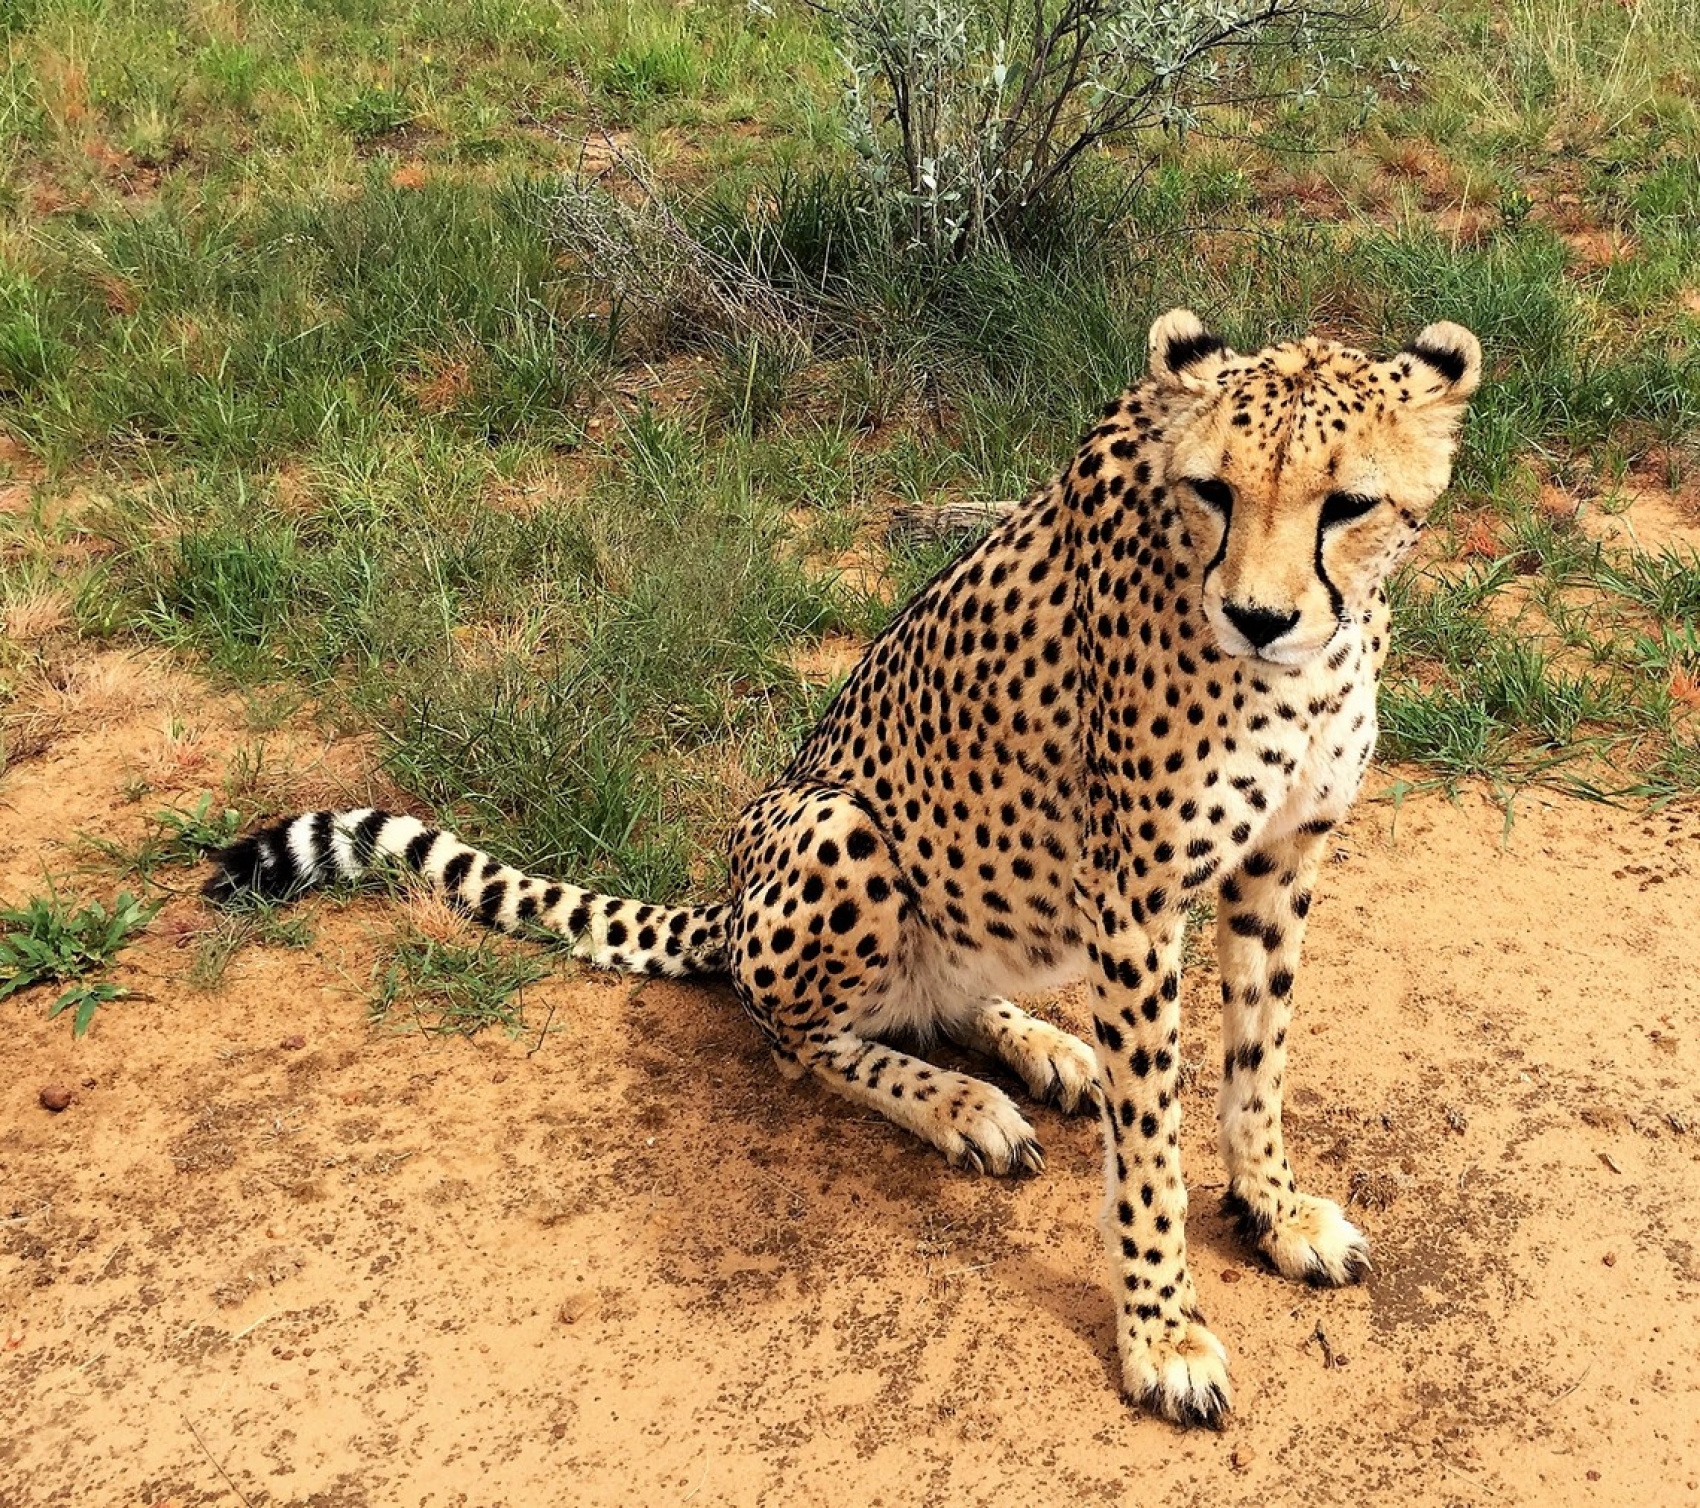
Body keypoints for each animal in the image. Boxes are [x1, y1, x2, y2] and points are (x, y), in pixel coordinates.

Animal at [212, 309, 1482, 1428]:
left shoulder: (1279, 859)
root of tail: (726, 902)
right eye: (1213, 489)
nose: (1257, 617)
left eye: (1348, 504)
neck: (1305, 665)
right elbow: (1149, 1149)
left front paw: (1270, 1210)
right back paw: (962, 1105)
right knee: (792, 1032)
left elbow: (1256, 1065)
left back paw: (1041, 1047)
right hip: (837, 825)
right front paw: (1161, 1329)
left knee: (942, 997)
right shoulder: (1133, 899)